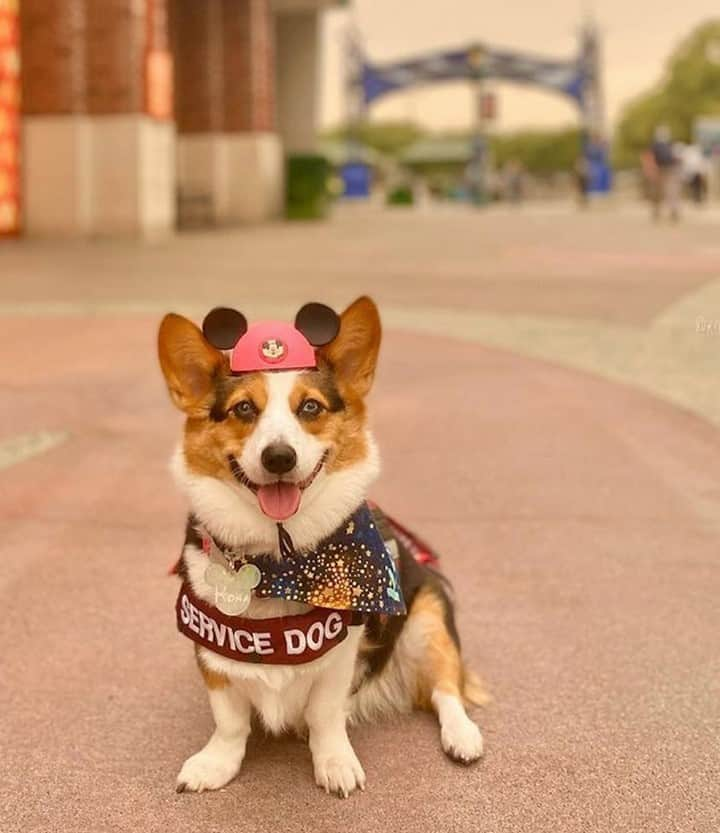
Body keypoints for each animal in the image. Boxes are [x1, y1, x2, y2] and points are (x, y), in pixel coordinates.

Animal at [158, 296, 484, 796]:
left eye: (310, 407)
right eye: (243, 409)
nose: (279, 457)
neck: (280, 562)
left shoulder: (341, 654)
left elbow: (325, 715)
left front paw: (335, 763)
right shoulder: (212, 652)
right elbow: (229, 722)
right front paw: (215, 764)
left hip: (427, 621)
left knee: (446, 688)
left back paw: (463, 736)